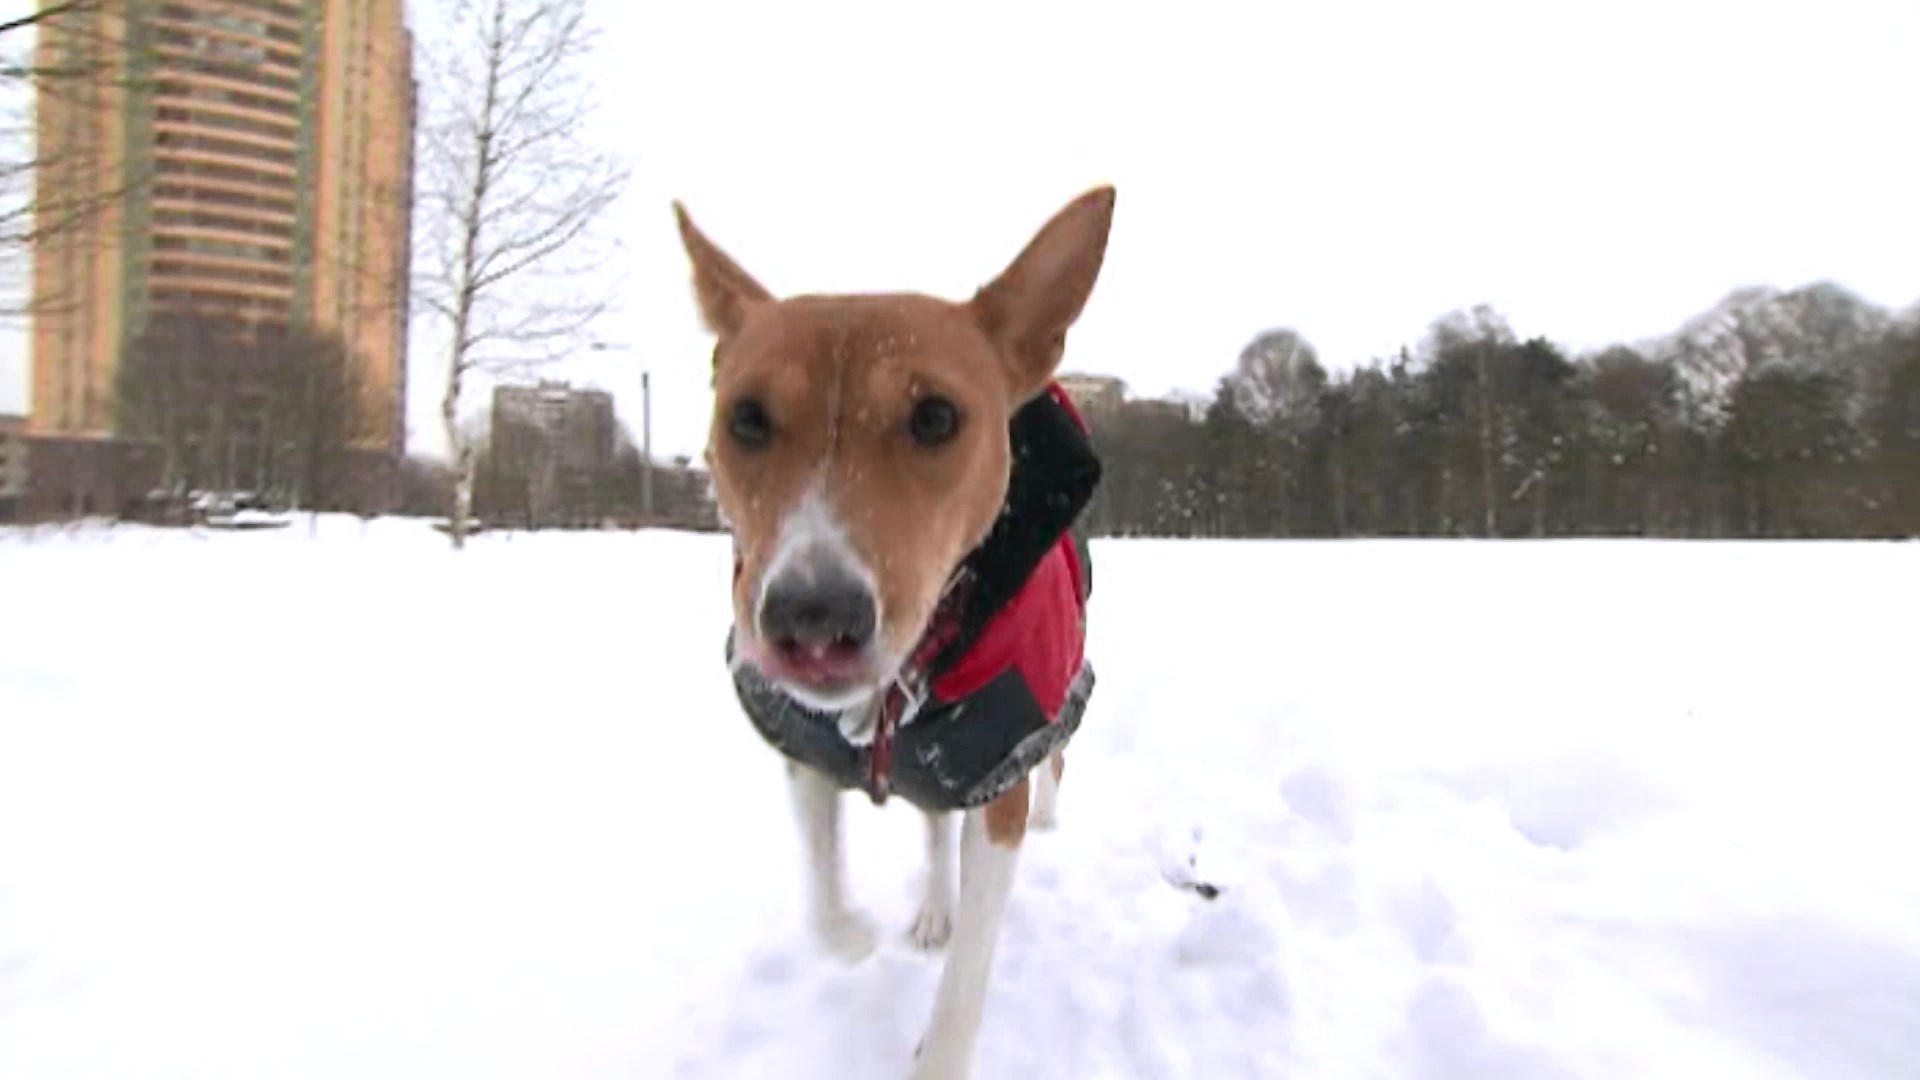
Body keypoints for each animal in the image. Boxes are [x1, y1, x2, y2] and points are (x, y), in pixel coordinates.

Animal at [675, 189, 1121, 1068]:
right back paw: (932, 908)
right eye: (746, 419)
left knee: (1047, 766)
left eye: (937, 416)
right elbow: (823, 907)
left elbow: (967, 979)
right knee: (931, 825)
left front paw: (939, 1051)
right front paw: (857, 936)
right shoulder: (804, 749)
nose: (812, 614)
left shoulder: (999, 773)